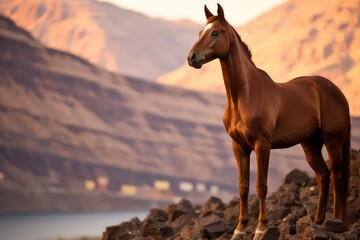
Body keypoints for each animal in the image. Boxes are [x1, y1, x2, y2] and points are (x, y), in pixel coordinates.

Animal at [187, 3, 350, 240]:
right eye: (201, 32)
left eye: (215, 32)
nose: (192, 58)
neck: (245, 95)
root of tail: (335, 91)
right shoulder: (239, 147)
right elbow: (243, 187)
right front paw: (239, 229)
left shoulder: (262, 145)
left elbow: (260, 186)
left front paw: (260, 229)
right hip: (310, 145)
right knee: (323, 177)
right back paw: (318, 223)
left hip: (333, 142)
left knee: (337, 178)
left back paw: (335, 223)